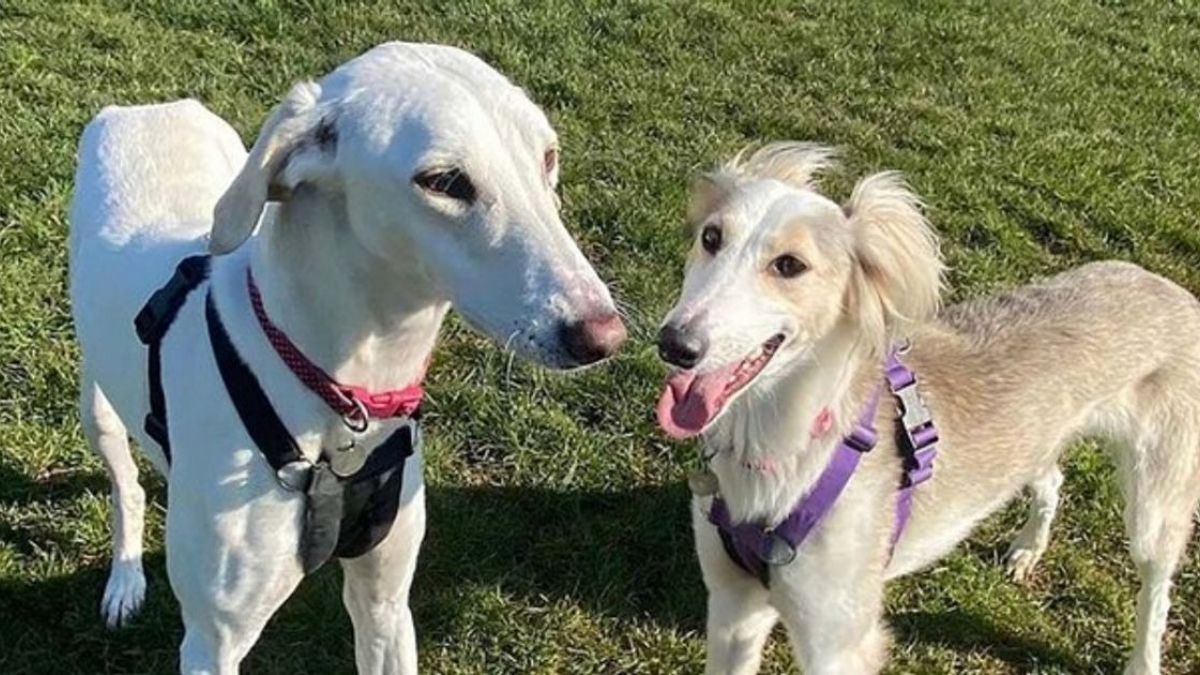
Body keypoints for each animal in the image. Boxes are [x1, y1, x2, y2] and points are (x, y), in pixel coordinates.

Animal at [71, 42, 628, 672]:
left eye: (548, 156)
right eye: (443, 181)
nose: (603, 335)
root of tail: (147, 108)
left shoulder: (385, 600)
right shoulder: (212, 644)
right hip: (96, 408)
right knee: (127, 486)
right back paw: (125, 581)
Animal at [657, 142, 1200, 672]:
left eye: (789, 265)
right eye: (711, 237)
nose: (673, 344)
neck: (782, 444)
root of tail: (1165, 284)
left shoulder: (837, 642)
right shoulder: (734, 607)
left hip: (1155, 500)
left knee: (1156, 587)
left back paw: (1142, 660)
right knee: (1052, 476)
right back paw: (1028, 547)